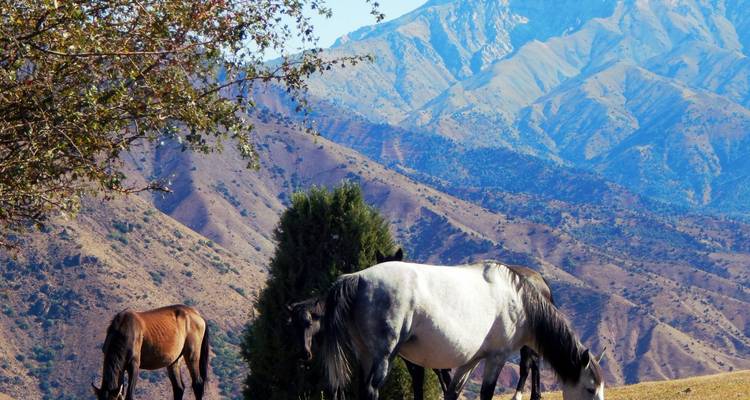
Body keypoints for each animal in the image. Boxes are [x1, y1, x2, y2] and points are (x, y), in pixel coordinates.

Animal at [319, 260, 604, 400]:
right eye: (590, 389)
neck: (518, 300)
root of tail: (357, 278)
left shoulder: (469, 361)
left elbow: (452, 393)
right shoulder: (496, 358)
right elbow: (486, 394)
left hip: (366, 355)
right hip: (383, 357)